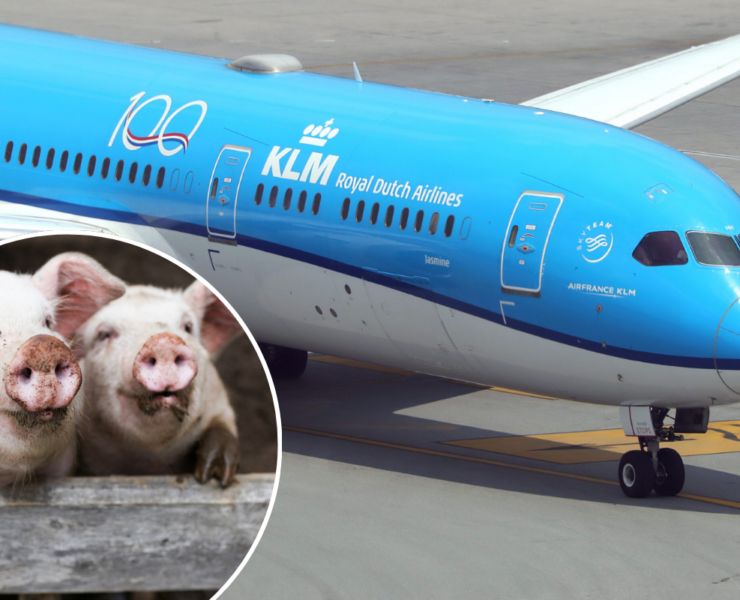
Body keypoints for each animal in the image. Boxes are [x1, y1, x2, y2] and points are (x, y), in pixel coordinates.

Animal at [76, 282, 243, 488]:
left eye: (188, 327)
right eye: (103, 335)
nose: (163, 342)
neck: (153, 460)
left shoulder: (220, 402)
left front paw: (214, 474)